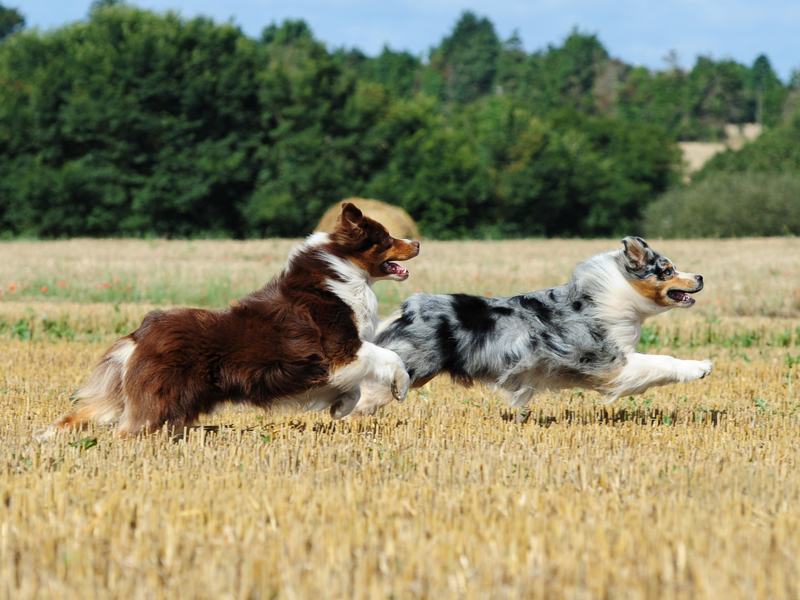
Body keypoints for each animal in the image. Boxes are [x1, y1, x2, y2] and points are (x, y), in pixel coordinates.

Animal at [36, 204, 424, 438]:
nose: (418, 243)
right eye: (386, 238)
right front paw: (400, 388)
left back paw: (44, 437)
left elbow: (355, 386)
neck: (343, 271)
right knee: (126, 431)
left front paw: (340, 406)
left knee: (80, 414)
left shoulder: (340, 361)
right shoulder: (341, 351)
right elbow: (390, 357)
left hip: (129, 394)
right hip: (159, 400)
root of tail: (140, 333)